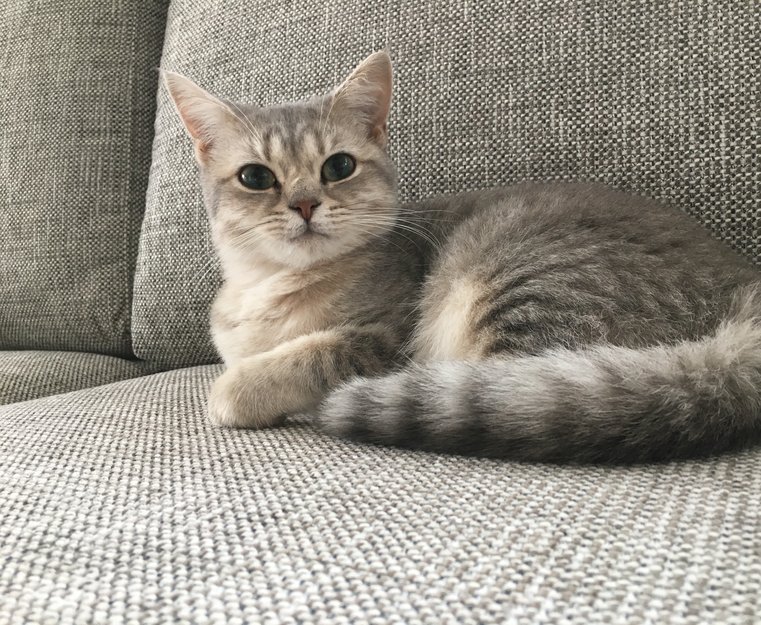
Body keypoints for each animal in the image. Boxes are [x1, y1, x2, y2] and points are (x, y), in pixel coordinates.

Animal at [164, 50, 761, 463]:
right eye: (255, 177)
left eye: (338, 166)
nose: (306, 203)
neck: (271, 286)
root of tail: (744, 290)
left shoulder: (384, 339)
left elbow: (309, 354)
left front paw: (236, 390)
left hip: (524, 286)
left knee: (514, 392)